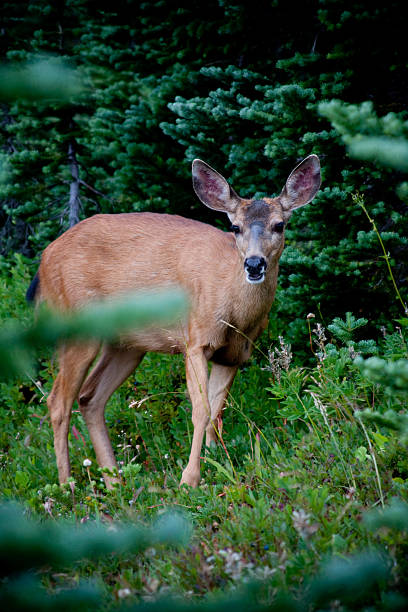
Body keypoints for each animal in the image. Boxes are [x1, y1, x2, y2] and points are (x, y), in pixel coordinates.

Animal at [29, 157, 322, 488]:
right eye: (235, 227)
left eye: (279, 225)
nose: (254, 264)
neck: (237, 315)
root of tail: (44, 258)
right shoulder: (195, 339)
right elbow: (201, 410)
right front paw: (190, 479)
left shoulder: (234, 355)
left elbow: (217, 410)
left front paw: (217, 462)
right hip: (75, 324)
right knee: (57, 402)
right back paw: (67, 485)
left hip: (128, 344)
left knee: (89, 397)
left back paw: (115, 481)